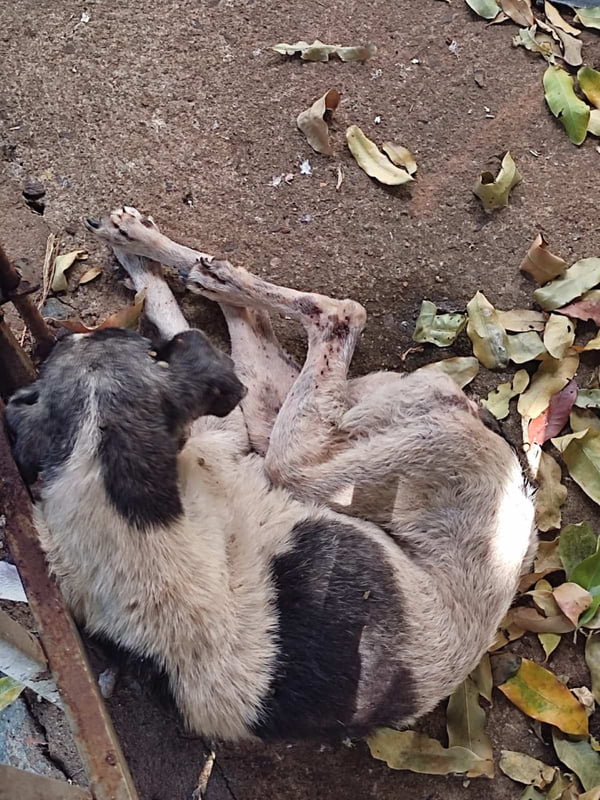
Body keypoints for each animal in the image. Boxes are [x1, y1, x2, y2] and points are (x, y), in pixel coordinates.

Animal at [4, 206, 536, 736]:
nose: (66, 337)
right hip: (312, 445)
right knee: (334, 315)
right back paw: (191, 267)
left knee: (319, 317)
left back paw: (170, 258)